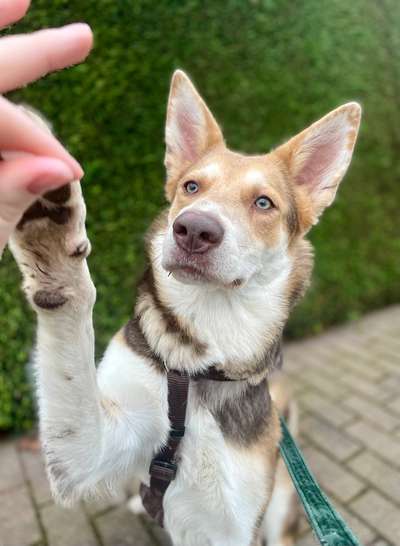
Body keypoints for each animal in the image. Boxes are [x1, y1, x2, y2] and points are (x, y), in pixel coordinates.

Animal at [9, 70, 360, 540]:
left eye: (263, 202)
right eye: (192, 187)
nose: (193, 228)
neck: (195, 364)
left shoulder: (229, 525)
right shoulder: (89, 452)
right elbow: (71, 354)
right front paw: (50, 226)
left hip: (281, 503)